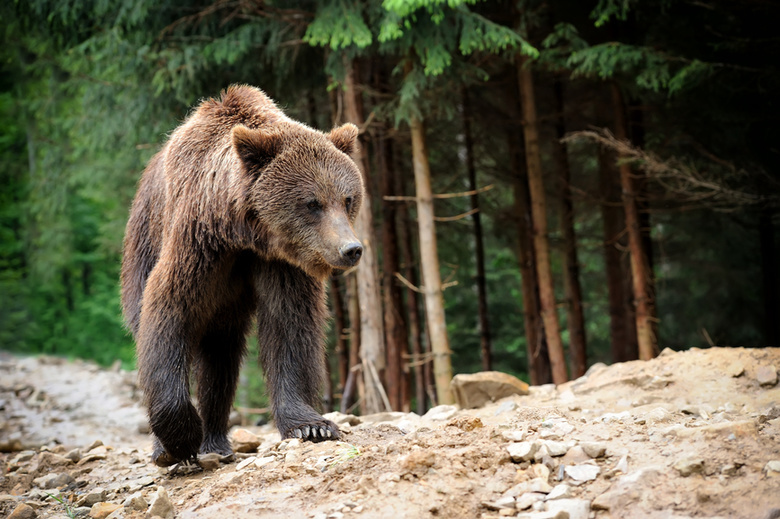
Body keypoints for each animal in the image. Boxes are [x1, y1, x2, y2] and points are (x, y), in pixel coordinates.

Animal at [120, 85, 364, 468]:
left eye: (348, 198)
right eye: (312, 203)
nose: (351, 249)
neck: (243, 233)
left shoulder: (281, 264)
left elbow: (290, 327)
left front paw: (312, 426)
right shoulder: (198, 246)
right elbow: (167, 312)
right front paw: (180, 440)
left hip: (225, 311)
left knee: (220, 360)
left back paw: (217, 441)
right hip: (142, 242)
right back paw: (172, 448)